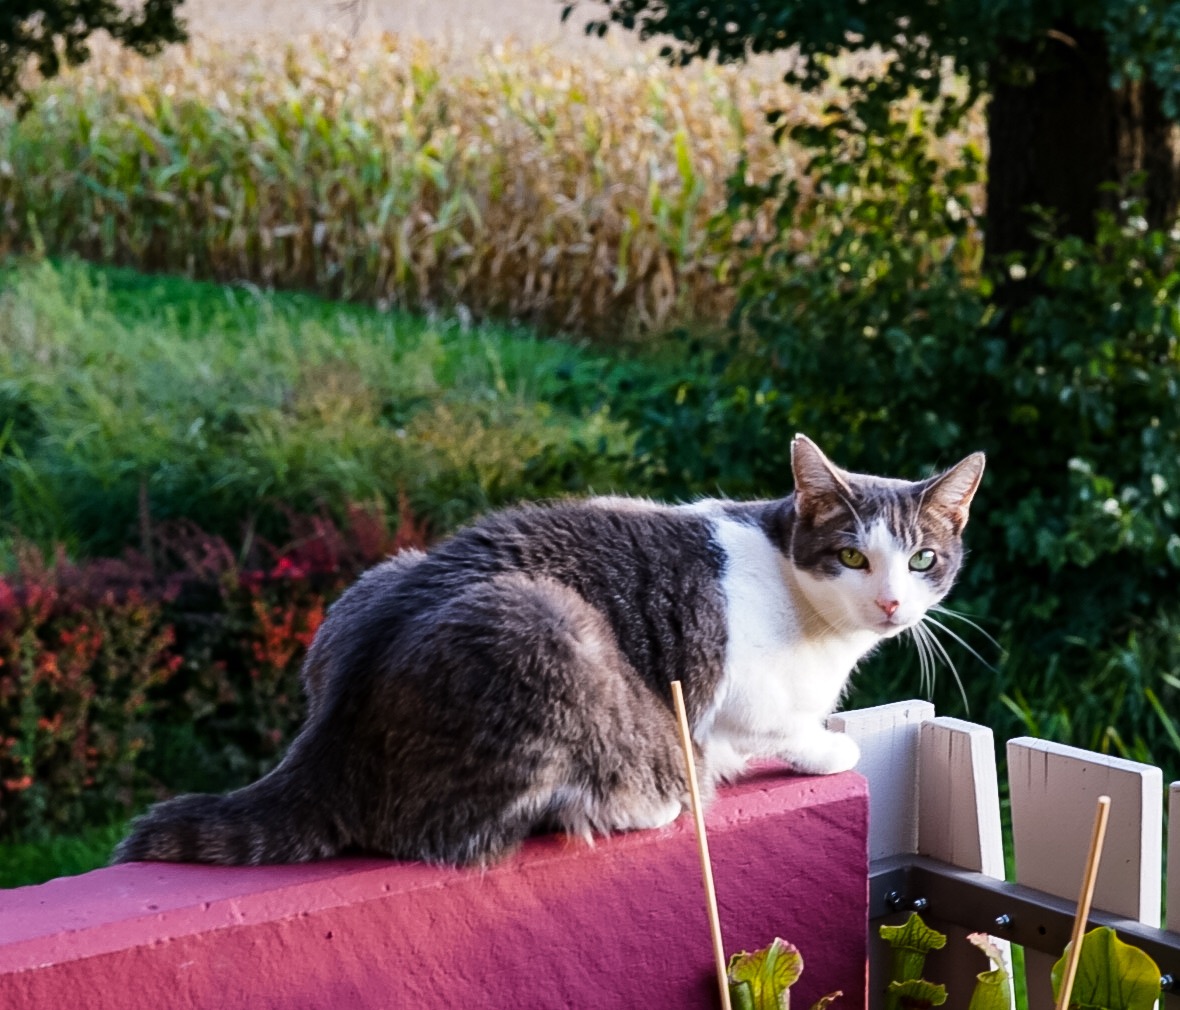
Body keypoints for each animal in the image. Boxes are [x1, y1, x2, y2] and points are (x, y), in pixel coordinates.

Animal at [112, 434, 986, 868]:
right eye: (851, 556)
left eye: (921, 559)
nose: (890, 603)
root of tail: (323, 744)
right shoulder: (741, 695)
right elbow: (782, 730)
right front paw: (827, 748)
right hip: (541, 625)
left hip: (373, 578)